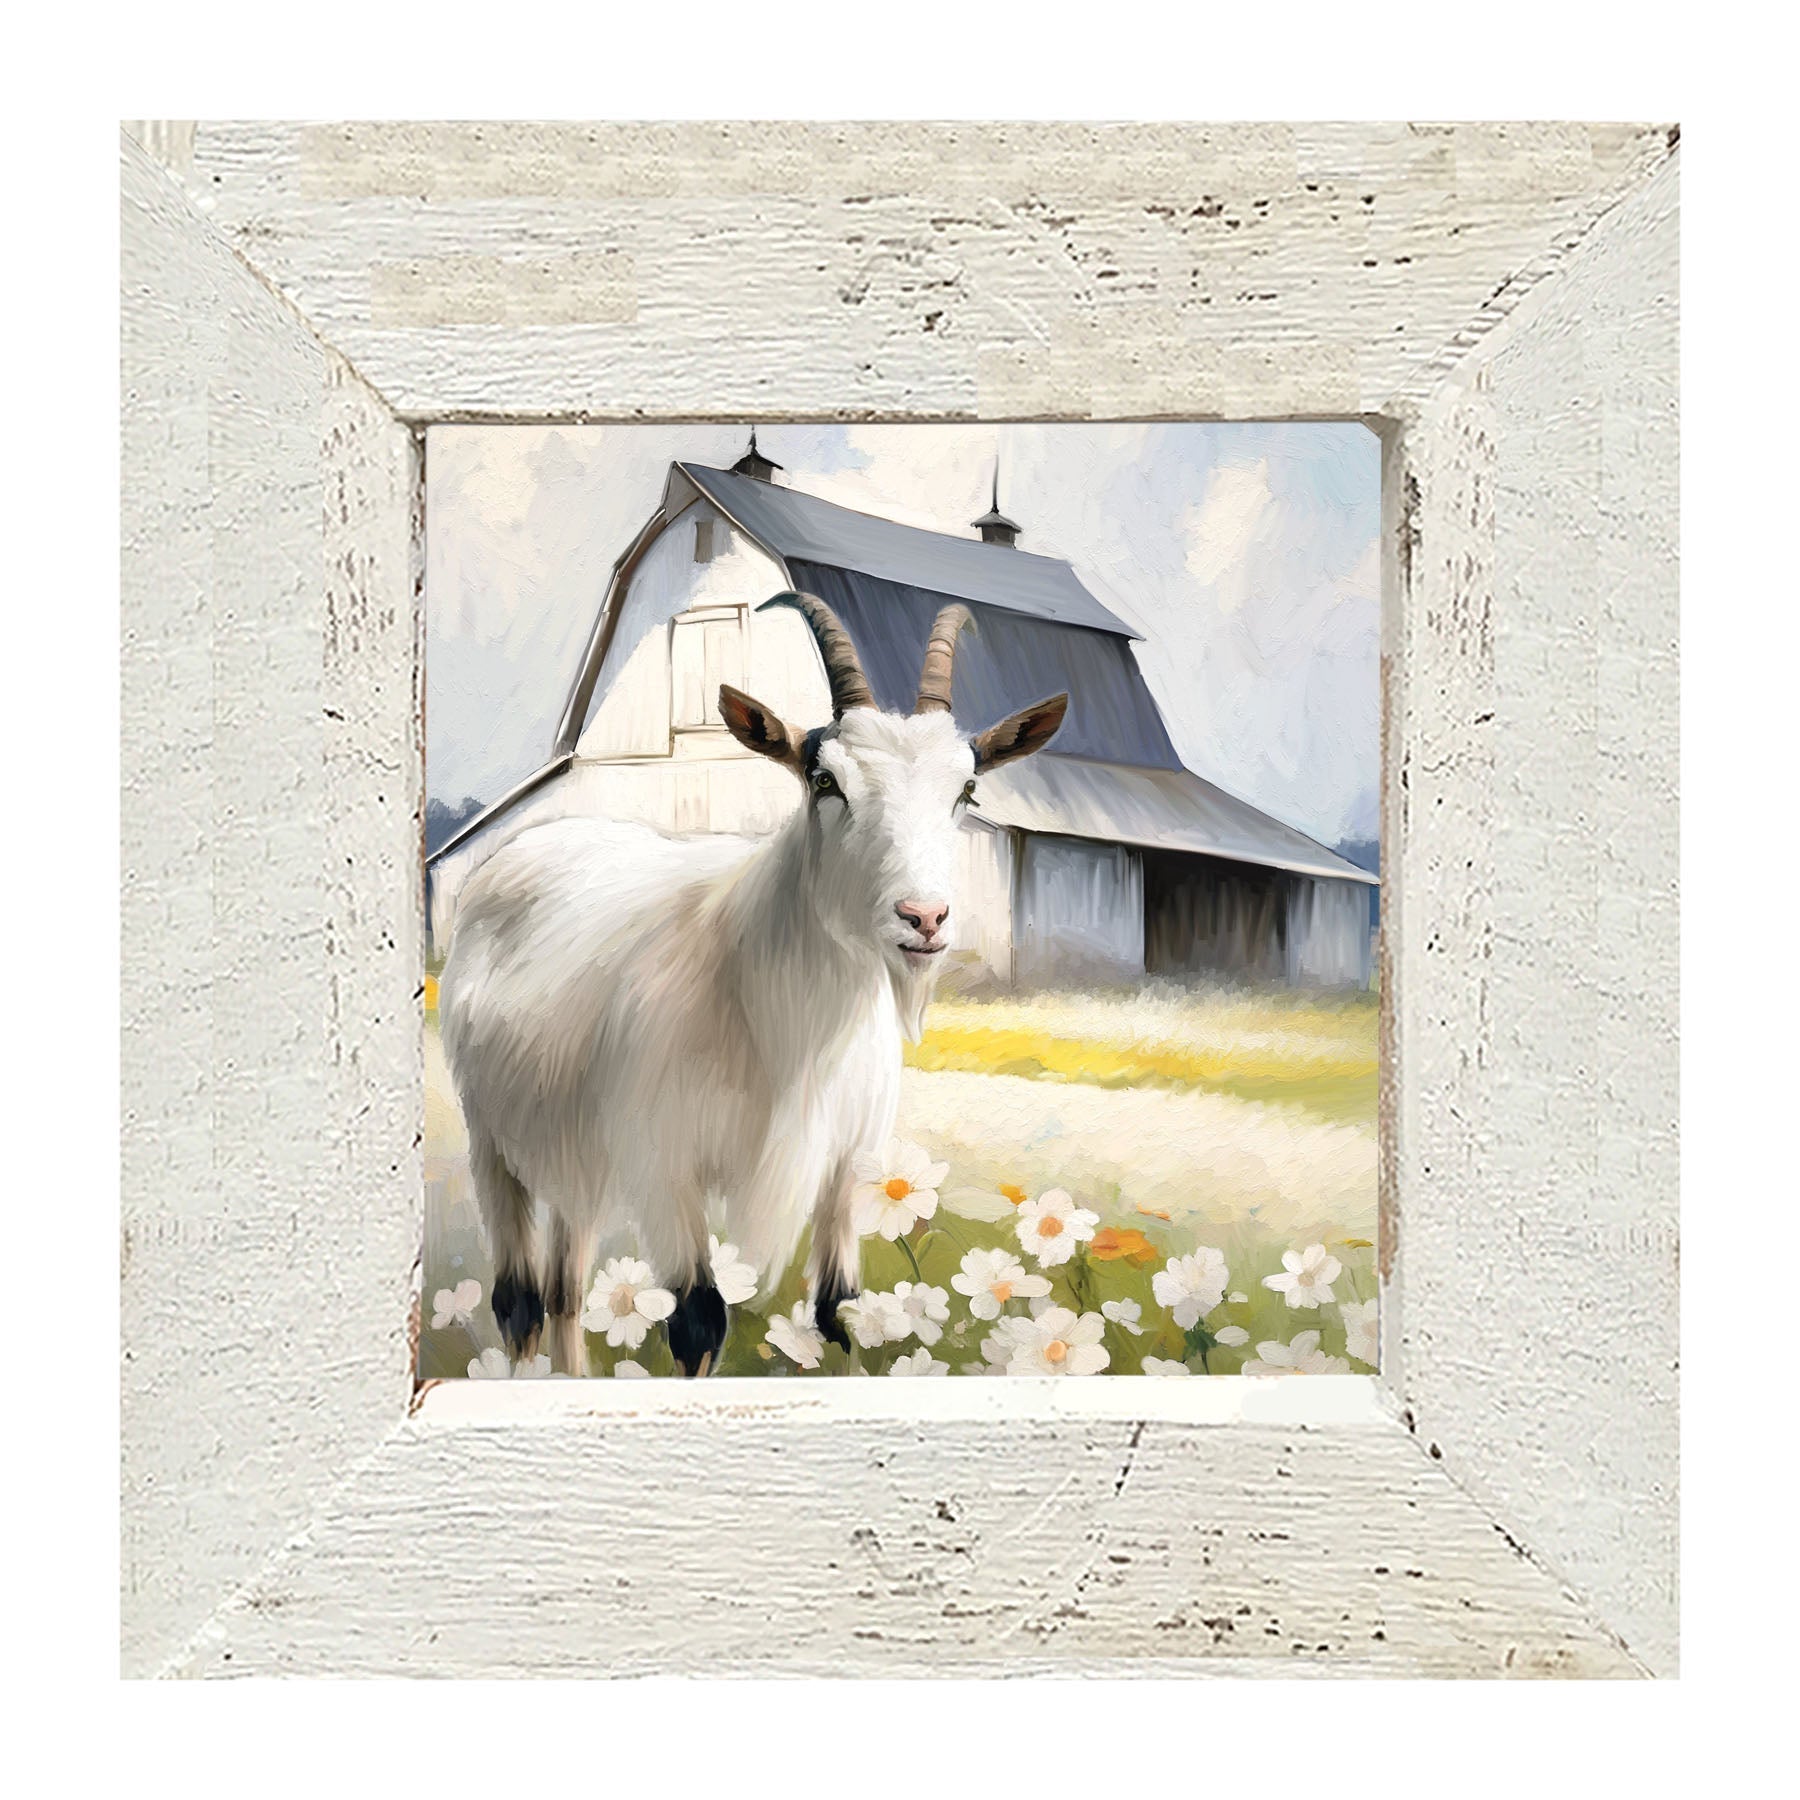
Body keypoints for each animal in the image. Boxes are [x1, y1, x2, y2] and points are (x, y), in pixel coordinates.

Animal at [438, 592, 1067, 1374]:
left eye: (967, 789)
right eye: (826, 781)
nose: (924, 917)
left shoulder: (845, 1164)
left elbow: (841, 1313)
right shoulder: (662, 1163)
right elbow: (698, 1322)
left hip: (573, 1145)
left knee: (566, 1288)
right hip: (491, 1135)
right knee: (519, 1298)